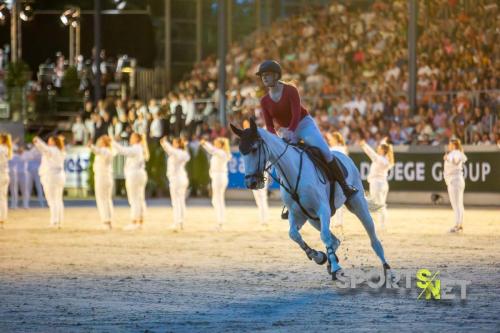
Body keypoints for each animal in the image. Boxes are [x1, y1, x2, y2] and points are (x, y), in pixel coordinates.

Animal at [230, 118, 390, 278]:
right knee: (335, 240)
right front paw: (319, 256)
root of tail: (345, 158)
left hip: (357, 204)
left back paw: (387, 269)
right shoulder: (297, 214)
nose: (251, 183)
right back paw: (329, 260)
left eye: (254, 149)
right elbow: (294, 234)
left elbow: (324, 236)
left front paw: (335, 266)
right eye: (241, 152)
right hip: (313, 219)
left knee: (372, 237)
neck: (293, 172)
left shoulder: (323, 209)